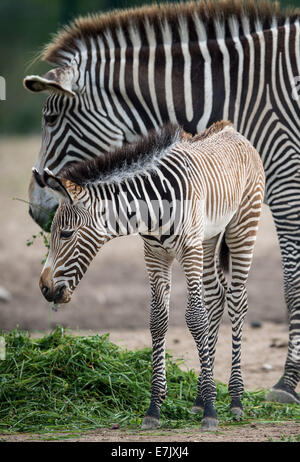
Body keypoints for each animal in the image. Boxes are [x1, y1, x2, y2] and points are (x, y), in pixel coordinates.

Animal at [37, 121, 264, 432]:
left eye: (66, 233)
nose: (44, 288)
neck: (153, 209)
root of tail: (231, 129)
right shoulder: (154, 254)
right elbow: (158, 322)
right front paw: (155, 407)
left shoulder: (189, 248)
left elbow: (195, 318)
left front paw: (211, 410)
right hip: (209, 236)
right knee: (216, 297)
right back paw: (198, 397)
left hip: (242, 227)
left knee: (237, 301)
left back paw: (235, 400)